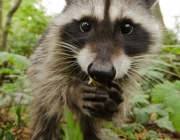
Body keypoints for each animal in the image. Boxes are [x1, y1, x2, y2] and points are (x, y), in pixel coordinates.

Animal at [27, 0, 162, 139]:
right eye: (85, 25)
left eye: (127, 28)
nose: (101, 72)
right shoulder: (51, 53)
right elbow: (49, 87)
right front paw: (72, 91)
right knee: (43, 107)